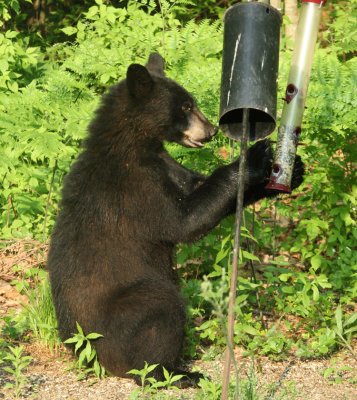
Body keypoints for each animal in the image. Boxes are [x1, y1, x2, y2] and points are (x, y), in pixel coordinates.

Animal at [46, 53, 304, 388]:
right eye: (185, 107)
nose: (211, 130)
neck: (133, 146)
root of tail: (85, 354)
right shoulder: (135, 188)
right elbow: (184, 220)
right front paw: (253, 158)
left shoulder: (168, 167)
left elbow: (198, 189)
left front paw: (289, 172)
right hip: (125, 313)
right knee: (160, 311)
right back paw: (175, 372)